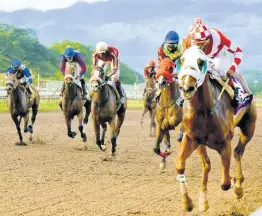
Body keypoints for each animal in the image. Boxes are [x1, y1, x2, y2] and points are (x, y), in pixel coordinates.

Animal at [175, 46, 256, 213]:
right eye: (182, 60)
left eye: (201, 62)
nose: (186, 88)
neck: (204, 110)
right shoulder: (193, 138)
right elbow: (182, 164)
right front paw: (190, 202)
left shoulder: (225, 142)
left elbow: (225, 183)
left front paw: (233, 182)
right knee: (210, 163)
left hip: (249, 129)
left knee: (238, 152)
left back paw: (238, 186)